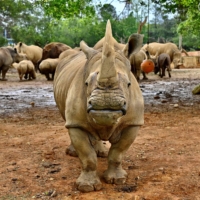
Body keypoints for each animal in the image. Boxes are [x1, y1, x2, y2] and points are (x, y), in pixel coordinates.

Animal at [53, 20, 144, 192]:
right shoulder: (76, 123)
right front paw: (86, 187)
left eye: (129, 84)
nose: (106, 102)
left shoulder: (133, 122)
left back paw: (101, 152)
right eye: (86, 83)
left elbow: (118, 152)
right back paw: (73, 153)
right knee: (67, 121)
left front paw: (117, 180)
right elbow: (87, 156)